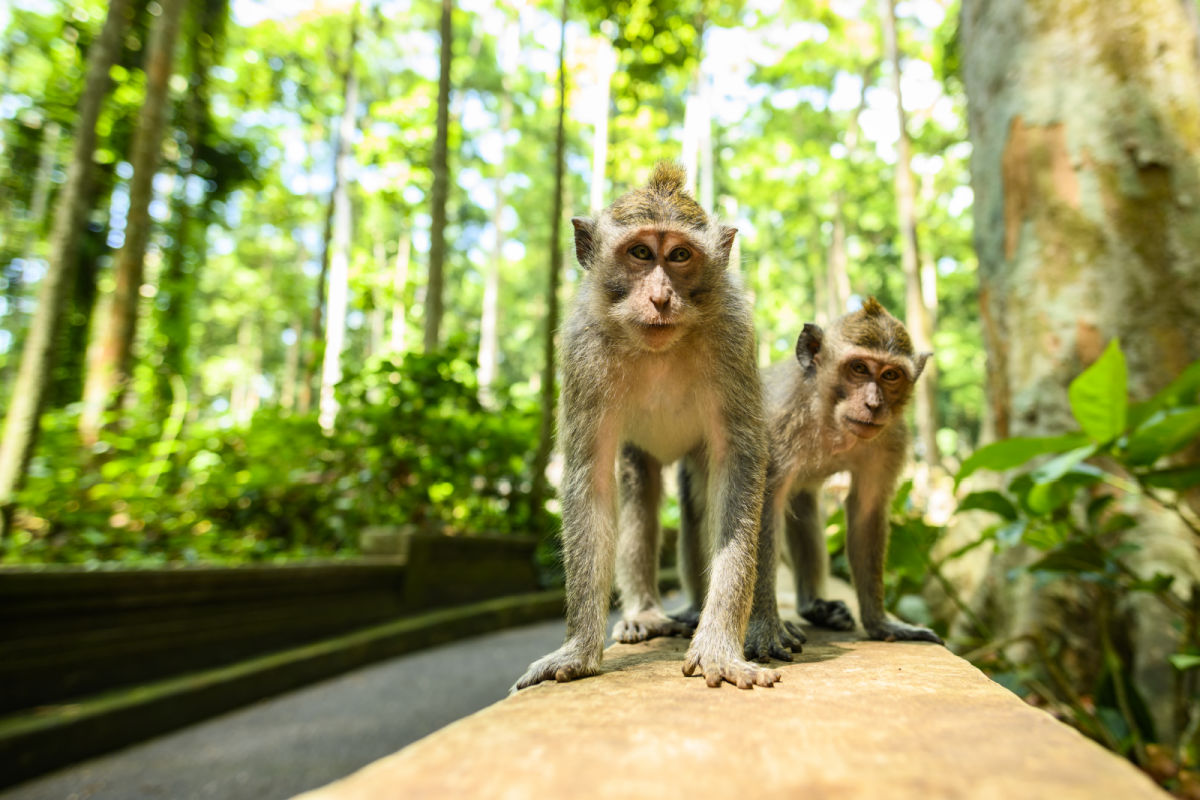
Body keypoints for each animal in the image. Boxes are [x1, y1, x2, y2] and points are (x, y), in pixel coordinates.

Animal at [511, 163, 780, 691]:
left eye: (679, 255)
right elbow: (590, 479)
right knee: (639, 486)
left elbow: (738, 466)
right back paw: (645, 613)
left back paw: (695, 607)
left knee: (698, 497)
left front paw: (718, 645)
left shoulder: (734, 336)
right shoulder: (582, 349)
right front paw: (578, 649)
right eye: (640, 253)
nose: (659, 297)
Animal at [737, 298, 944, 661]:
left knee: (802, 506)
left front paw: (881, 622)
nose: (873, 404)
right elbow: (760, 505)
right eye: (859, 368)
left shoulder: (892, 440)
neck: (830, 419)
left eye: (891, 375)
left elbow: (867, 511)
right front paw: (763, 627)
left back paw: (814, 607)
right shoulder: (776, 423)